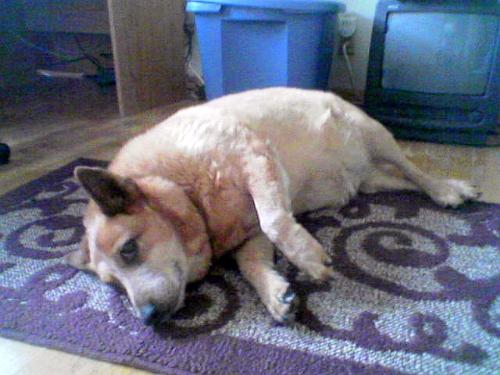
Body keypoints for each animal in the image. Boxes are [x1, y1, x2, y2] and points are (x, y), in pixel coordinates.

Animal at [64, 89, 478, 326]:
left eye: (128, 249)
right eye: (113, 285)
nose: (148, 319)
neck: (190, 195)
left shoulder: (256, 158)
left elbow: (275, 220)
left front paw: (308, 258)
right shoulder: (249, 234)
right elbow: (252, 263)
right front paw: (276, 294)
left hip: (375, 134)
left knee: (413, 170)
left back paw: (446, 189)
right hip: (372, 181)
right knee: (402, 182)